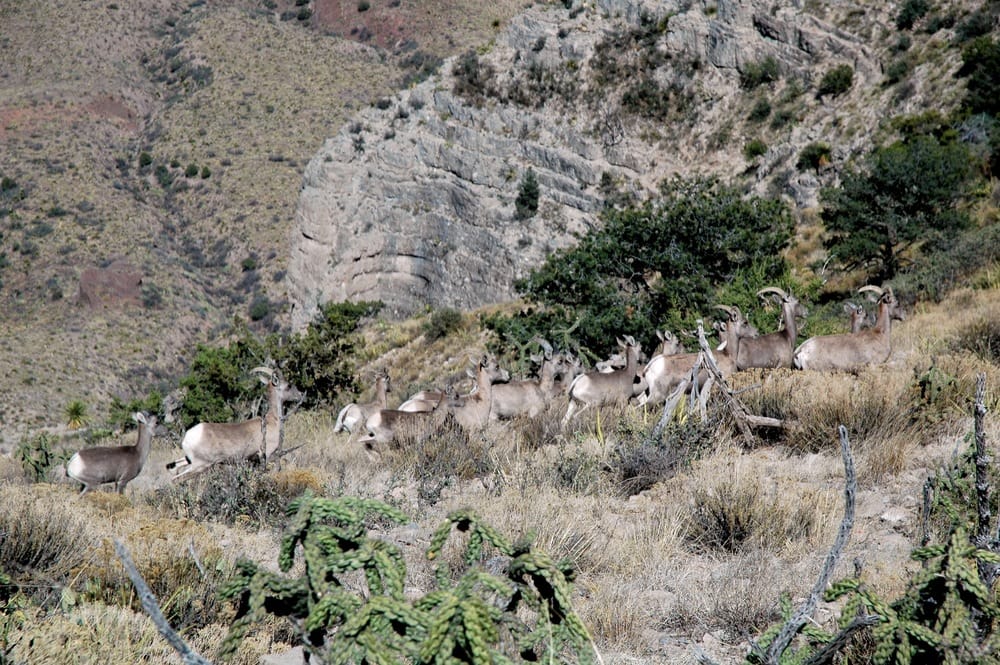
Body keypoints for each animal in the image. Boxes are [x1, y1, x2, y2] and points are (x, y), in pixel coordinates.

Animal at [165, 366, 300, 480]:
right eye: (288, 385)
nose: (299, 395)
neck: (271, 420)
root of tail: (188, 437)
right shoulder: (268, 454)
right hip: (200, 466)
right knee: (177, 479)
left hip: (188, 461)